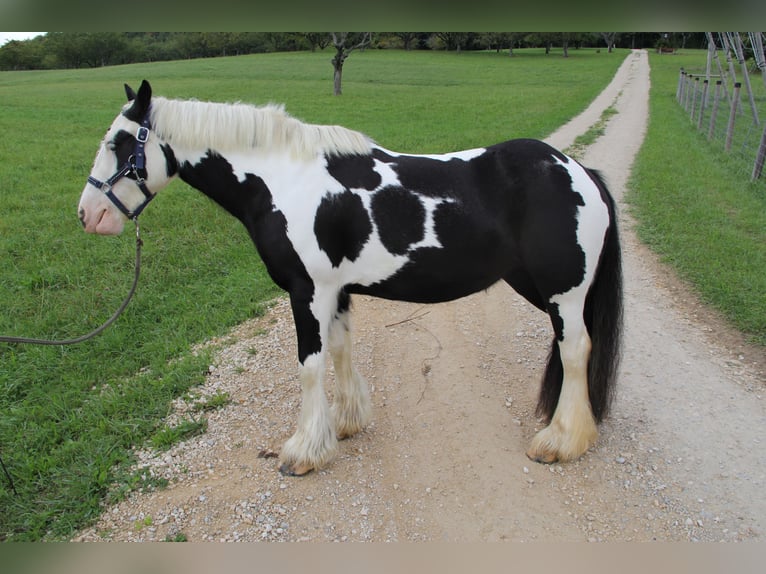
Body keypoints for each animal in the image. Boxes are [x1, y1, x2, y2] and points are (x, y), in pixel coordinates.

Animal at [79, 81, 624, 476]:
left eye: (120, 143)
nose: (88, 215)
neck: (285, 181)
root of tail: (580, 172)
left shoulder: (308, 292)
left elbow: (309, 367)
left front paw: (303, 452)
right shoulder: (335, 292)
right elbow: (340, 352)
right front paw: (343, 425)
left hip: (563, 293)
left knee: (576, 350)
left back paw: (561, 441)